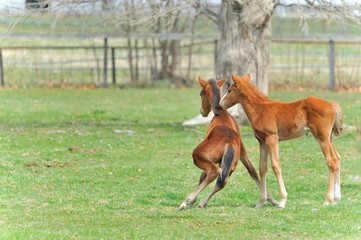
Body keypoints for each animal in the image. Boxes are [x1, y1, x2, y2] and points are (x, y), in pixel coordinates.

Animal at [179, 77, 278, 210]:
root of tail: (229, 141)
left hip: (198, 155)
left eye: (201, 94)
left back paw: (188, 201)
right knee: (223, 180)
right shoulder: (241, 150)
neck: (221, 114)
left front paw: (192, 200)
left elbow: (203, 175)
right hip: (232, 163)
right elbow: (252, 170)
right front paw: (271, 199)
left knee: (214, 172)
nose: (202, 112)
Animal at [218, 73, 342, 208]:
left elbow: (276, 166)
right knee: (337, 158)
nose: (220, 104)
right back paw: (336, 199)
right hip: (329, 138)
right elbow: (262, 168)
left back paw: (328, 200)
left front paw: (282, 200)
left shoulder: (272, 138)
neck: (260, 109)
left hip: (322, 137)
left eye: (229, 90)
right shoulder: (262, 141)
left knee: (331, 161)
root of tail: (332, 106)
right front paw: (260, 202)